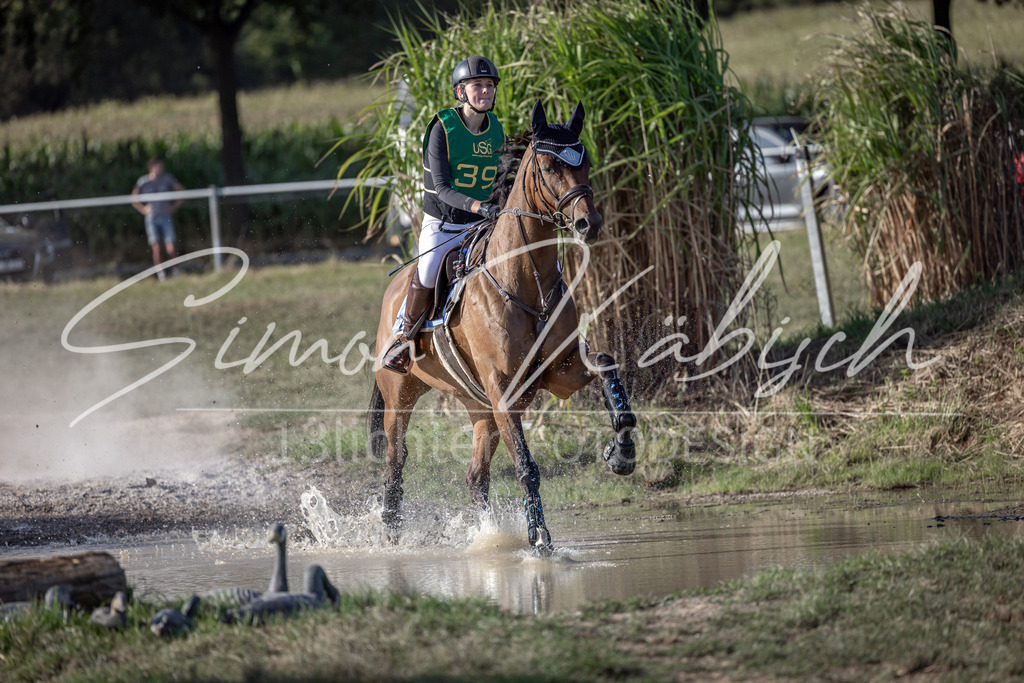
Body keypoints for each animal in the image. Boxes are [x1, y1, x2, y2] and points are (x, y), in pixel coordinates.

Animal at [368, 100, 637, 555]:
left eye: (585, 163)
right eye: (547, 167)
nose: (589, 223)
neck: (525, 281)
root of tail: (392, 294)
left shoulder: (557, 373)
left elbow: (606, 366)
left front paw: (622, 452)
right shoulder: (504, 390)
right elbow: (527, 466)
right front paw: (539, 538)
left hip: (480, 408)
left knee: (476, 476)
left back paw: (487, 535)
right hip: (401, 393)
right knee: (395, 460)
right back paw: (391, 530)